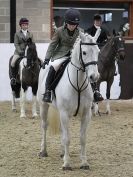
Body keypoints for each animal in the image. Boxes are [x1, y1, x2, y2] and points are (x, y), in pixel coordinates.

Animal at [37, 29, 100, 169]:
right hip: (44, 106)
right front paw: (66, 163)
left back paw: (62, 153)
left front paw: (84, 163)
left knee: (61, 130)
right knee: (44, 126)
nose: (94, 76)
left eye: (98, 51)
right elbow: (68, 138)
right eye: (84, 52)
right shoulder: (65, 113)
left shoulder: (86, 114)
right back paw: (43, 151)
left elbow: (82, 138)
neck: (78, 84)